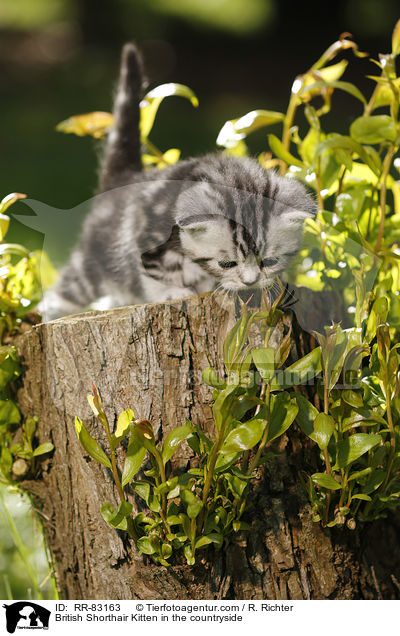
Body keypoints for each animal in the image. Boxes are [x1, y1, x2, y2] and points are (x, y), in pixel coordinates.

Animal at [40, 43, 316, 322]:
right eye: (226, 263)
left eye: (270, 261)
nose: (250, 282)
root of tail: (122, 180)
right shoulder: (145, 232)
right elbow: (153, 271)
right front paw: (169, 291)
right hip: (92, 263)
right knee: (62, 293)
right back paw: (48, 315)